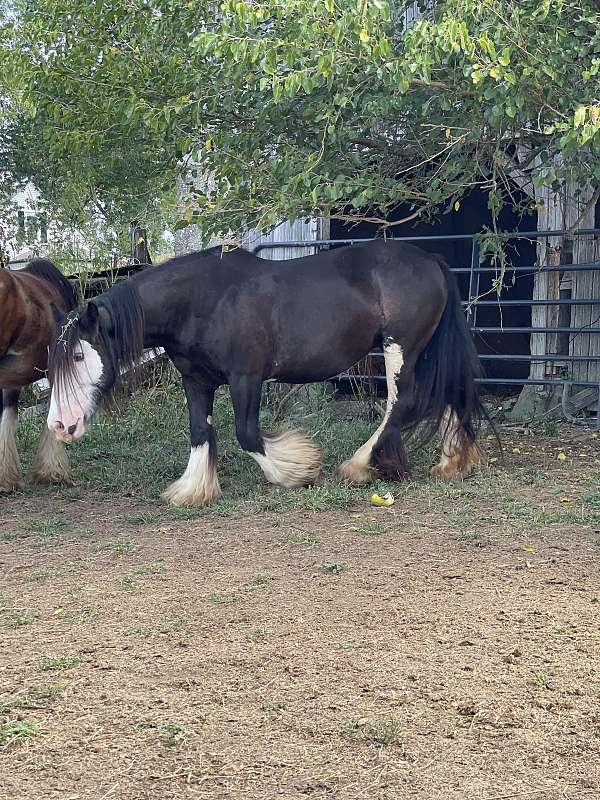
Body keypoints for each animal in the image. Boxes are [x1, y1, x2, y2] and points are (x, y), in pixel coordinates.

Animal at [47, 241, 488, 506]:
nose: (60, 425)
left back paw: (358, 466)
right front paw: (193, 489)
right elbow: (200, 431)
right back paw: (451, 464)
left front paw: (298, 471)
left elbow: (247, 433)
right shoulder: (196, 380)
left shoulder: (246, 378)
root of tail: (430, 259)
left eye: (80, 357)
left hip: (401, 346)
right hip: (423, 349)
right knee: (446, 394)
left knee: (402, 402)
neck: (201, 301)